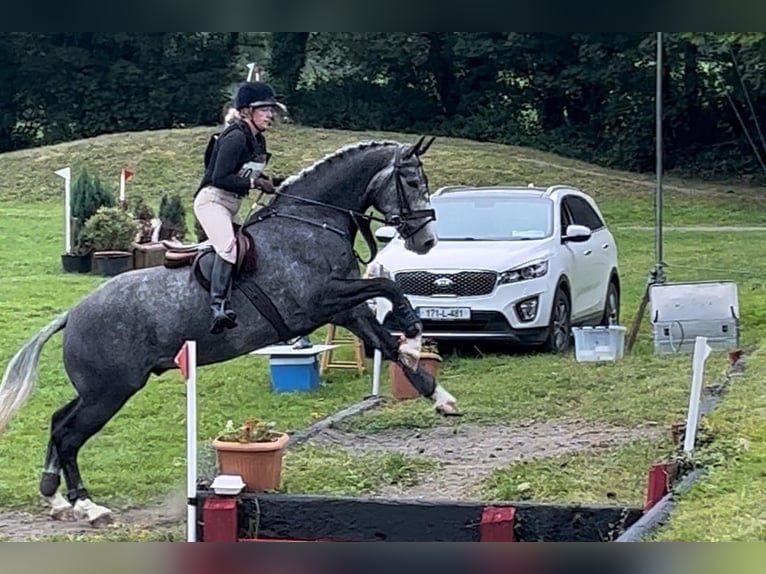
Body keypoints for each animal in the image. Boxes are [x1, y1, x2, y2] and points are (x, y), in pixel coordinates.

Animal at [0, 137, 462, 528]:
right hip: (110, 391)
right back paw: (87, 505)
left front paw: (435, 387)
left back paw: (55, 497)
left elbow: (387, 336)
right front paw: (415, 340)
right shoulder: (323, 299)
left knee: (59, 422)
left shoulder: (345, 309)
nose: (427, 241)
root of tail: (73, 314)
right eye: (412, 181)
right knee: (68, 435)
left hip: (100, 389)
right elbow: (387, 286)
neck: (312, 220)